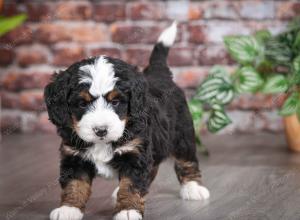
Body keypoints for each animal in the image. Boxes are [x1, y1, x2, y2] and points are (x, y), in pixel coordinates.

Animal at [45, 21, 209, 220]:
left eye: (116, 101)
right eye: (82, 103)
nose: (101, 130)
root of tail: (160, 75)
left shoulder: (135, 152)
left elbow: (131, 185)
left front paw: (127, 210)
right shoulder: (74, 156)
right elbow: (74, 184)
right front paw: (69, 209)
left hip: (182, 134)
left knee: (187, 160)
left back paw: (193, 187)